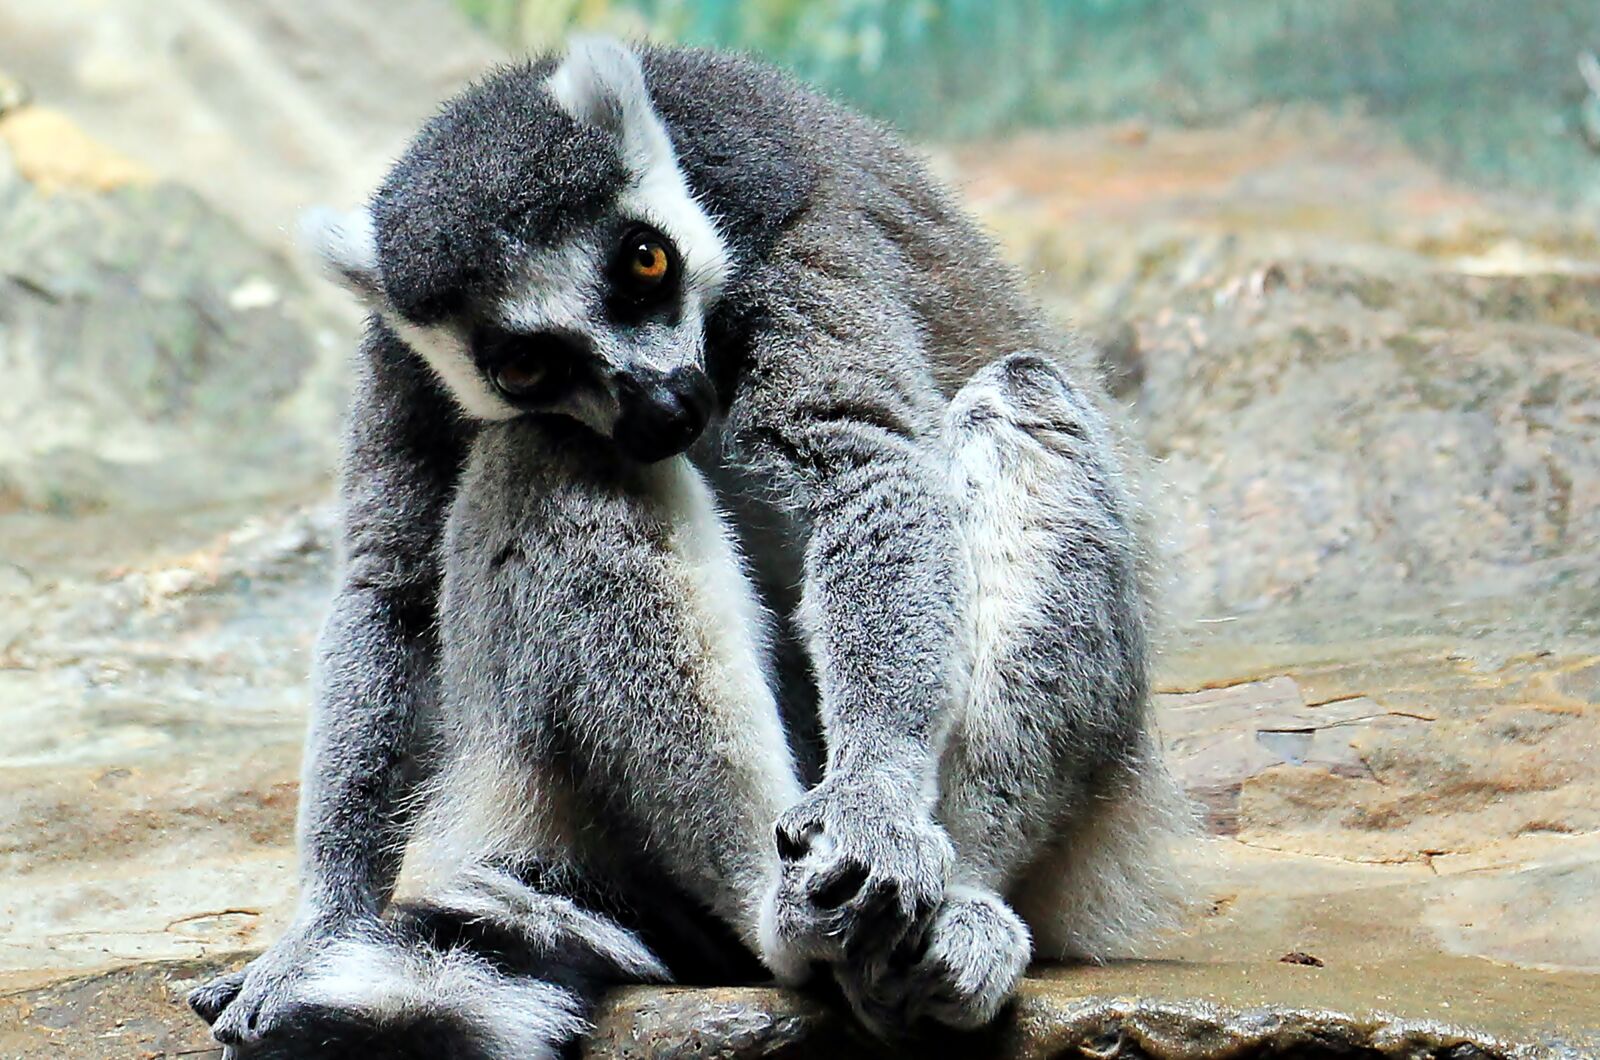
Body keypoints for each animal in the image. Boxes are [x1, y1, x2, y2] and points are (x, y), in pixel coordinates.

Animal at [188, 38, 1194, 1057]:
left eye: (646, 262)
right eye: (524, 363)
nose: (666, 406)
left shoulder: (794, 238)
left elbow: (863, 470)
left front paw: (874, 799)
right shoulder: (398, 359)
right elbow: (389, 587)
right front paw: (319, 928)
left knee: (1023, 395)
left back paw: (941, 915)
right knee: (561, 454)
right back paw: (777, 916)